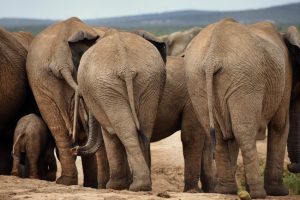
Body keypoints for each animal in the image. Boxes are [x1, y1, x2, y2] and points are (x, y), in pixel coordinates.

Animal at [71, 27, 166, 191]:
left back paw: (134, 186)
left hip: (107, 87)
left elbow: (109, 133)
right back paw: (143, 185)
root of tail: (126, 67)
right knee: (144, 130)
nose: (74, 149)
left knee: (126, 131)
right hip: (149, 82)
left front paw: (114, 186)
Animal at [183, 18, 296, 198]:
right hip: (245, 80)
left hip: (197, 81)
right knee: (243, 132)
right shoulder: (286, 76)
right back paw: (258, 194)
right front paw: (280, 192)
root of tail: (212, 57)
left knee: (219, 134)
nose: (292, 167)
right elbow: (280, 125)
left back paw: (226, 190)